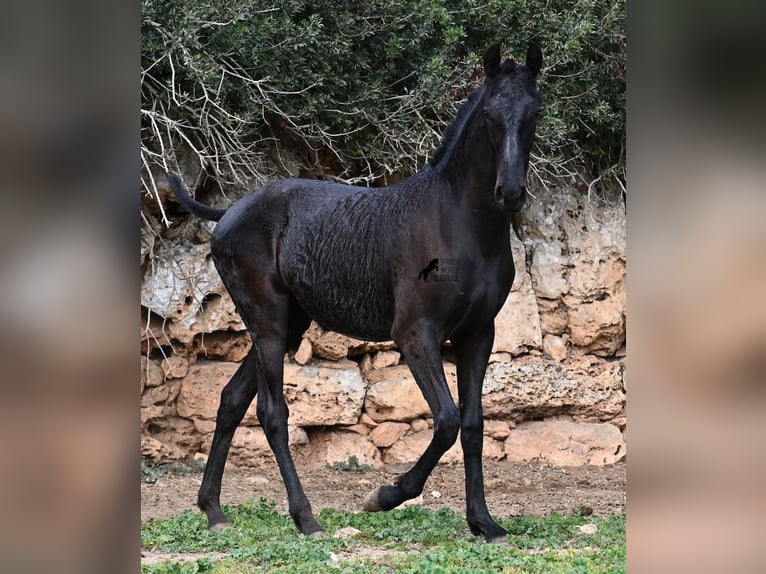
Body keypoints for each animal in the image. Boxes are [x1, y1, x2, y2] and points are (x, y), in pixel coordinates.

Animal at [168, 42, 544, 544]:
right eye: (488, 115)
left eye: (534, 112)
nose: (510, 192)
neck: (459, 224)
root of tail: (229, 212)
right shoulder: (415, 335)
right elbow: (445, 421)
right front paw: (385, 496)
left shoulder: (477, 336)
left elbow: (472, 425)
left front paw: (484, 522)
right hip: (268, 324)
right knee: (271, 412)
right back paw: (306, 518)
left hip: (288, 326)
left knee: (231, 400)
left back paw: (214, 511)